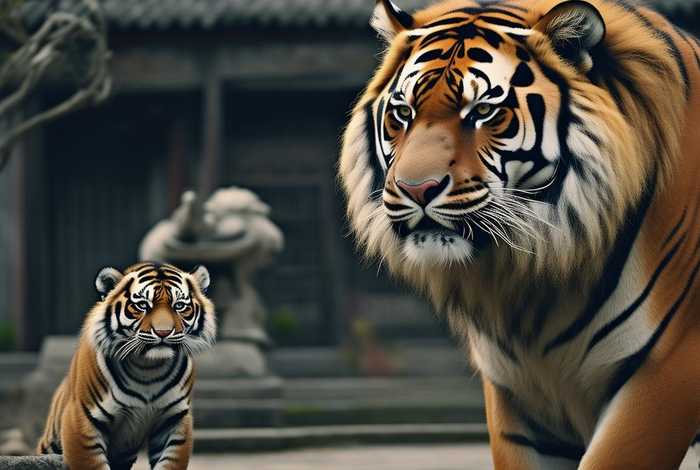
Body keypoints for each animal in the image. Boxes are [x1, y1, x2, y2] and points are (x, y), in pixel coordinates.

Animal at [37, 262, 216, 470]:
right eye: (142, 305)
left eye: (179, 306)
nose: (163, 332)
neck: (148, 367)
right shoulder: (81, 421)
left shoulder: (174, 421)